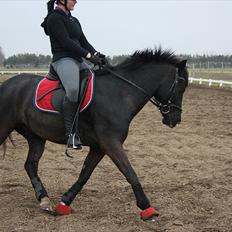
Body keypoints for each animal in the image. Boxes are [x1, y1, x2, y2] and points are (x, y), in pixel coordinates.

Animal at [0, 48, 188, 220]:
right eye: (181, 86)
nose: (175, 119)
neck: (120, 93)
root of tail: (7, 84)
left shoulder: (99, 147)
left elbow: (85, 174)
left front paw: (64, 203)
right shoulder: (111, 143)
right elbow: (130, 173)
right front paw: (147, 209)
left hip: (36, 137)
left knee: (30, 165)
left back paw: (44, 200)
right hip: (5, 128)